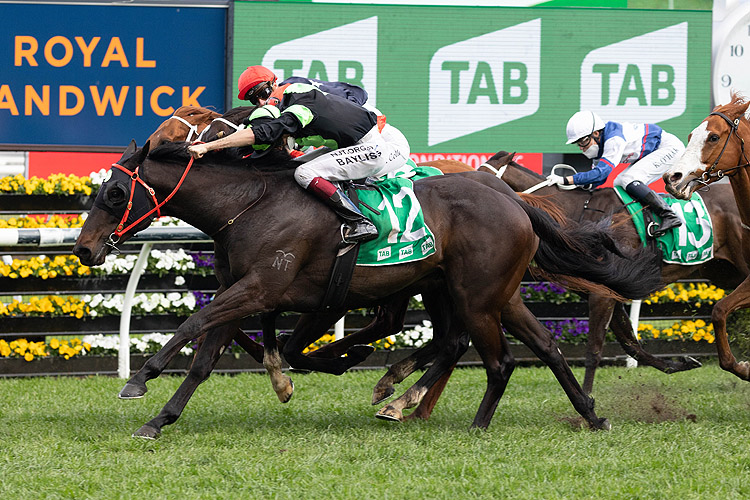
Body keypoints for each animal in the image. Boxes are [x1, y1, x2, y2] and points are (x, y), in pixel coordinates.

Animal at [73, 141, 664, 438]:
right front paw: (160, 418)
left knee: (496, 360)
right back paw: (590, 414)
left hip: (475, 298)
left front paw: (140, 379)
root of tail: (515, 201)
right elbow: (205, 358)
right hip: (492, 293)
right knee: (544, 348)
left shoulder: (263, 287)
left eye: (113, 192)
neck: (249, 205)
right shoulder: (244, 290)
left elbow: (197, 322)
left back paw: (459, 419)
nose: (84, 248)